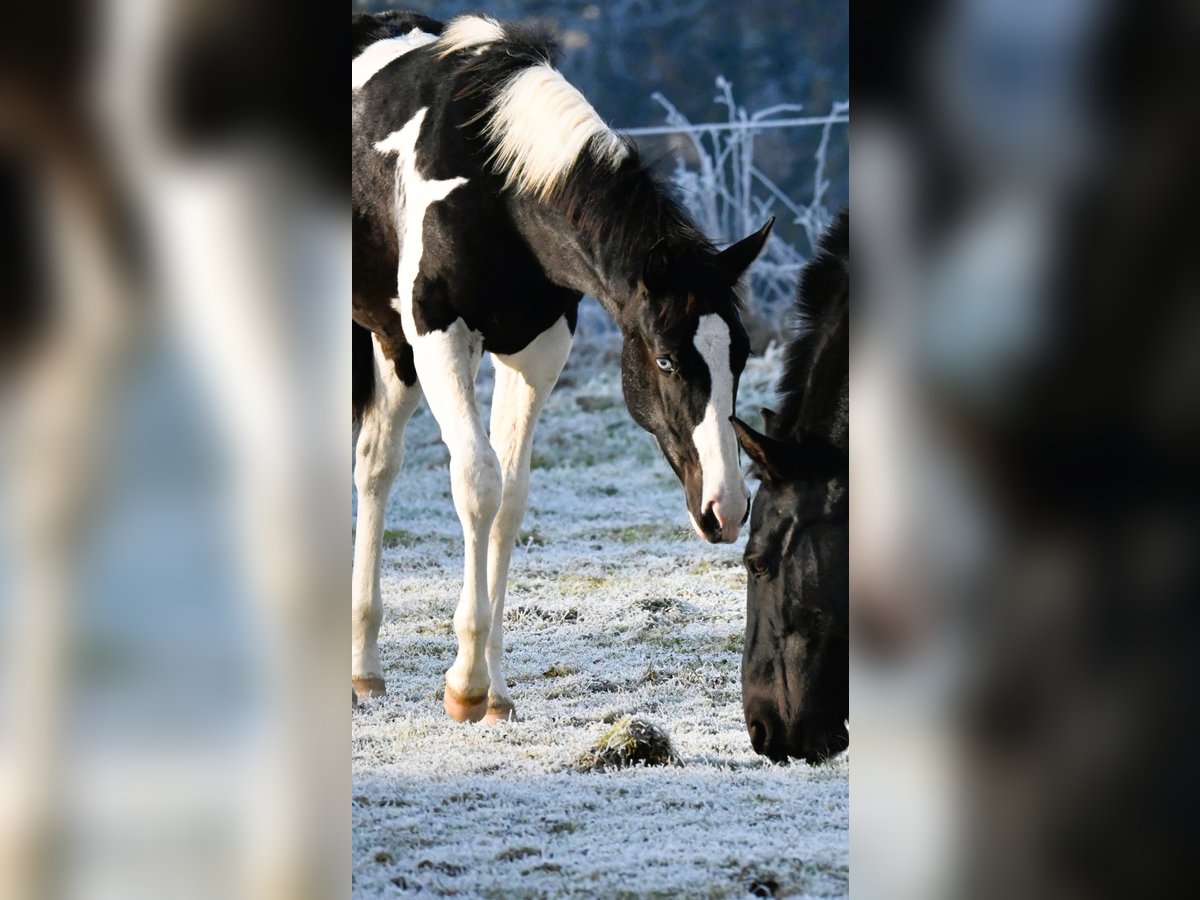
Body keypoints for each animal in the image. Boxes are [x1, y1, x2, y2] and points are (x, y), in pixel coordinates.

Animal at [350, 10, 772, 724]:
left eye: (739, 356)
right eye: (665, 359)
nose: (727, 509)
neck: (491, 183)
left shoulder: (536, 351)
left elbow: (511, 496)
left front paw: (496, 691)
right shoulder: (439, 337)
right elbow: (478, 483)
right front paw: (465, 685)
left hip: (391, 344)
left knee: (375, 467)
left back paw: (364, 671)